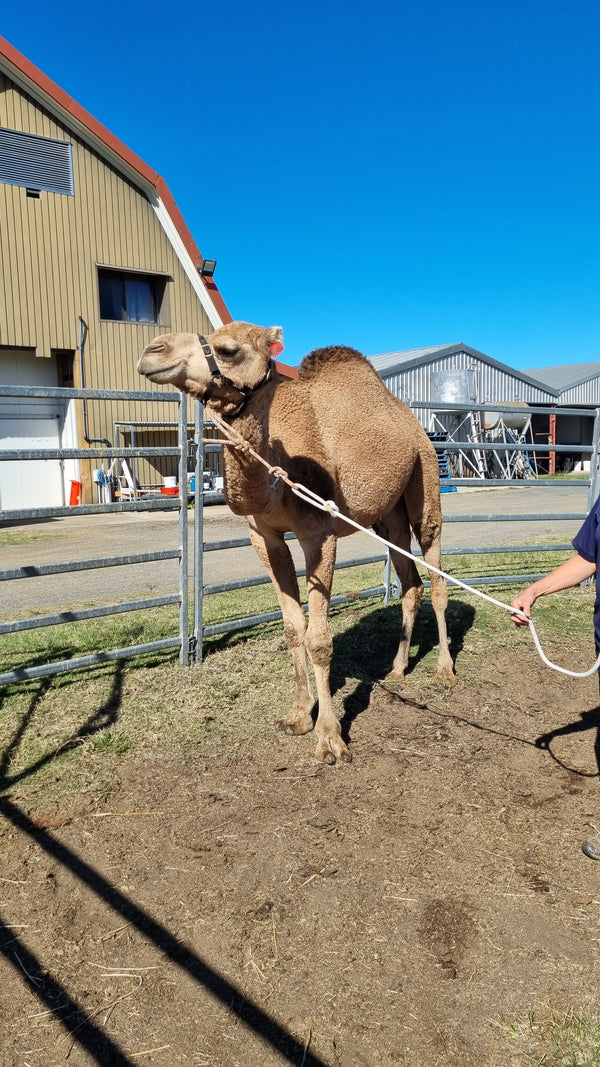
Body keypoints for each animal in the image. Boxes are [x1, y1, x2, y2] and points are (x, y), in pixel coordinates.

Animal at [138, 322, 454, 764]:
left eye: (228, 349)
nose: (153, 350)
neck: (277, 470)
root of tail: (411, 421)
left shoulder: (319, 534)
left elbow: (319, 638)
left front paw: (330, 739)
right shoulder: (264, 535)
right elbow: (292, 627)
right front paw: (299, 715)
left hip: (425, 478)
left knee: (437, 573)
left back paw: (444, 670)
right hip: (387, 517)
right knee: (411, 582)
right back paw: (396, 667)